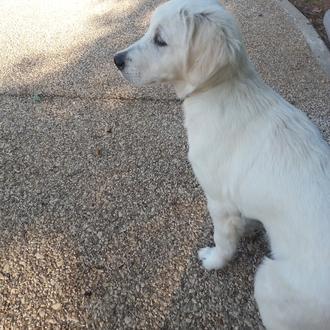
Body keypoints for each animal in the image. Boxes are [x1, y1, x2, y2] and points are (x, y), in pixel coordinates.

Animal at [113, 1, 330, 328]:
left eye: (160, 40)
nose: (116, 60)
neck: (221, 90)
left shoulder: (218, 201)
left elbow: (224, 240)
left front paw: (214, 260)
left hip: (268, 280)